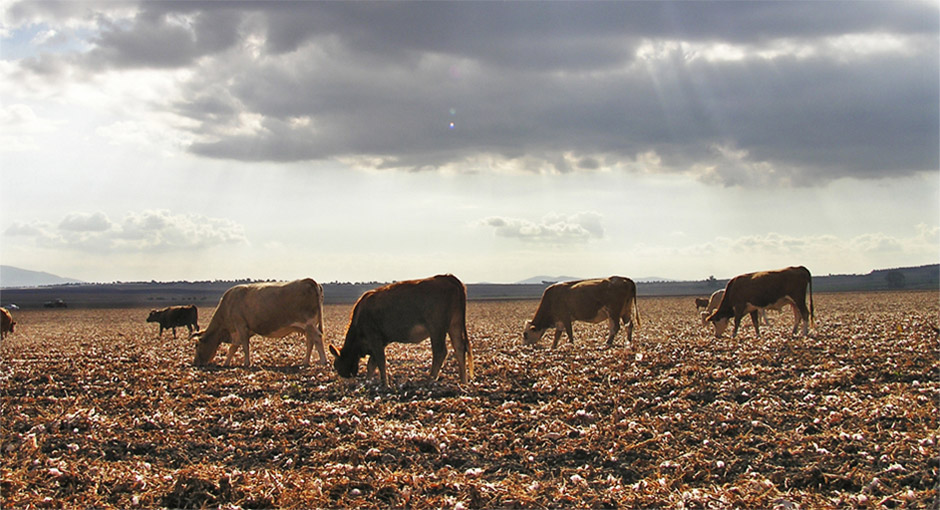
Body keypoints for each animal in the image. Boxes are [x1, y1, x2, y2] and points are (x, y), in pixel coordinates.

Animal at [193, 278, 324, 366]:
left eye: (197, 345)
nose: (195, 363)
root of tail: (307, 280)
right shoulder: (238, 331)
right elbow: (233, 348)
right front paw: (226, 363)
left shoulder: (240, 326)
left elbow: (244, 346)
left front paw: (246, 363)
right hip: (308, 327)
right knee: (311, 341)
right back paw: (306, 362)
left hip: (309, 323)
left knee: (317, 338)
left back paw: (322, 361)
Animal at [330, 274, 478, 386]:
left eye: (336, 365)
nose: (344, 377)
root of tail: (446, 277)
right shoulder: (381, 341)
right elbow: (372, 364)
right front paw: (368, 382)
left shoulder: (374, 338)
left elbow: (380, 362)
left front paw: (385, 385)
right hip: (454, 324)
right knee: (459, 348)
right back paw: (463, 382)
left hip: (437, 328)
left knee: (440, 352)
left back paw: (429, 380)